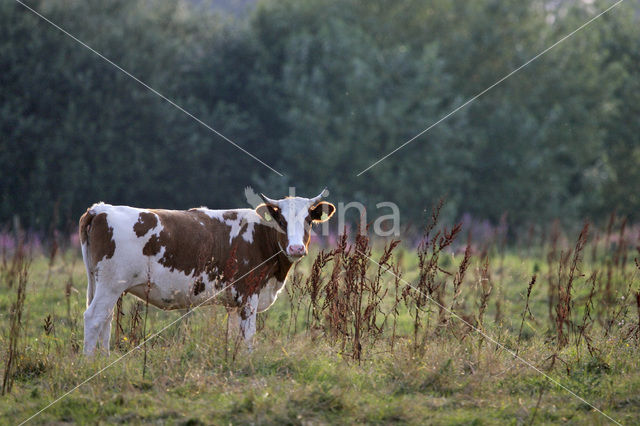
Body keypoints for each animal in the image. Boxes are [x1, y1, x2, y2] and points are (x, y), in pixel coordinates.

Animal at [79, 191, 336, 356]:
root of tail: (100, 209)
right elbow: (248, 336)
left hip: (102, 284)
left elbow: (234, 335)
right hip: (111, 284)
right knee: (94, 318)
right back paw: (90, 363)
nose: (296, 248)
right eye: (281, 219)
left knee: (105, 320)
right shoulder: (248, 294)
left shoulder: (234, 302)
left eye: (308, 220)